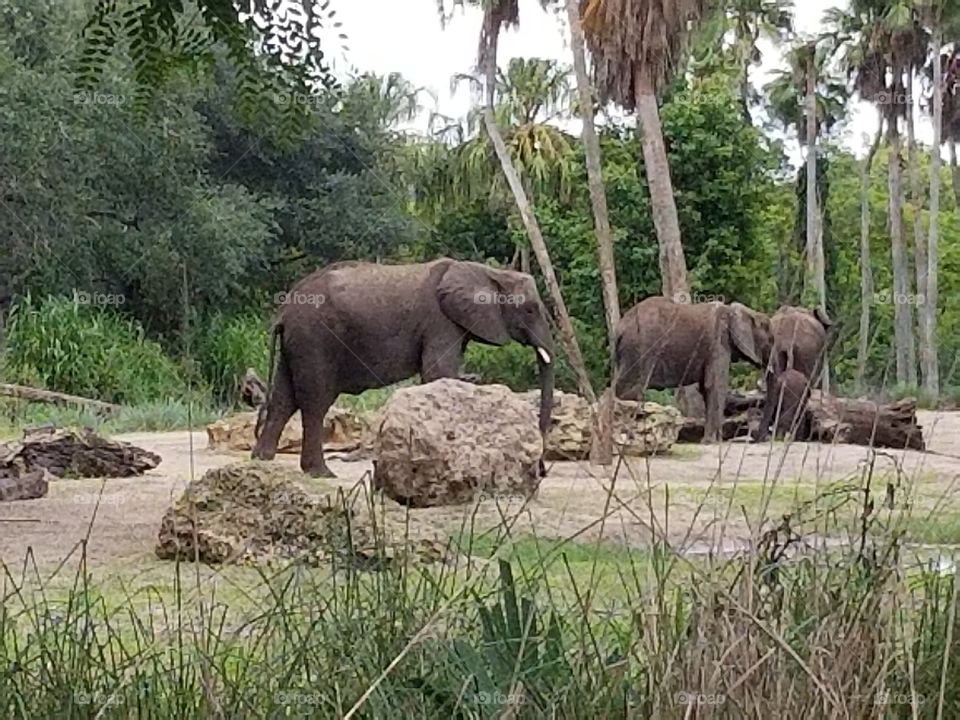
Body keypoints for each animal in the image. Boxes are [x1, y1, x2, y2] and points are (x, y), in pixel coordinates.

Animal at [251, 258, 556, 478]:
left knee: (284, 398)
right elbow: (438, 372)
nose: (541, 471)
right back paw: (321, 473)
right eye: (530, 309)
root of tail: (283, 311)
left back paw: (262, 459)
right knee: (315, 401)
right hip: (316, 339)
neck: (489, 273)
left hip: (296, 344)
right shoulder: (440, 320)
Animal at [616, 296, 772, 442]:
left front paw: (709, 441)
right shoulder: (718, 343)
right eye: (770, 339)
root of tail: (621, 326)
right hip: (639, 347)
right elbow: (715, 386)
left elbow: (705, 389)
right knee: (631, 389)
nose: (762, 438)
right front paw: (713, 442)